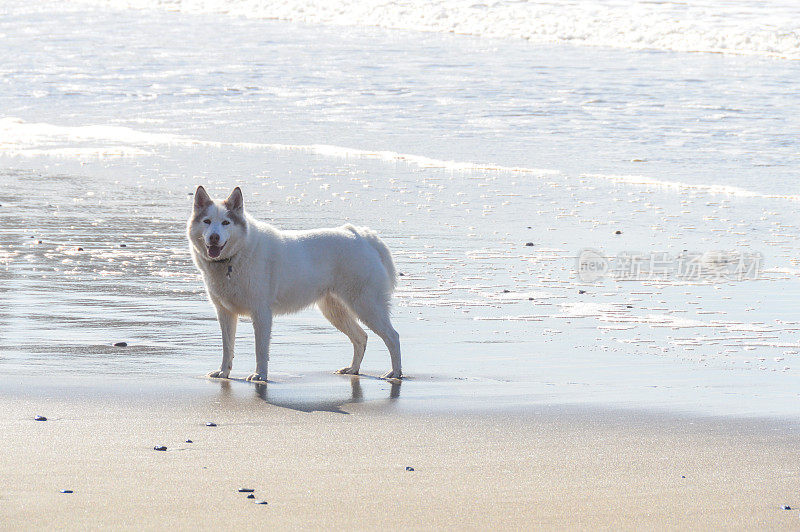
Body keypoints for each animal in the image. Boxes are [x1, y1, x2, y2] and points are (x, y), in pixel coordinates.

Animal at [186, 185, 400, 380]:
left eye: (226, 222)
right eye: (207, 221)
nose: (214, 237)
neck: (234, 257)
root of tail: (362, 236)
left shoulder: (261, 313)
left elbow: (260, 350)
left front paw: (260, 375)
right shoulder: (225, 314)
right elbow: (227, 347)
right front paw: (224, 372)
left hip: (367, 306)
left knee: (393, 337)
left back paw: (395, 373)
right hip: (335, 311)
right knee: (361, 337)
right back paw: (353, 369)